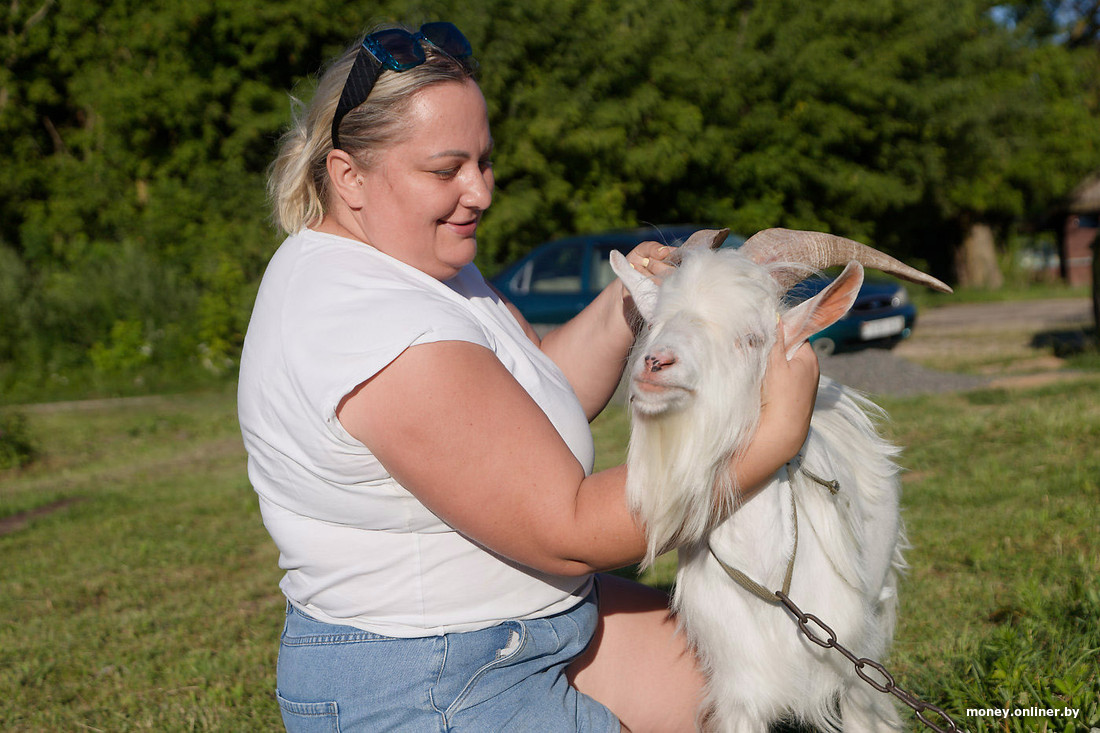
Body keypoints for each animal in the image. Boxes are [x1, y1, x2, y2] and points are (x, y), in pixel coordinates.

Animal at [611, 230, 954, 730]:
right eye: (653, 325)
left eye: (752, 338)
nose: (656, 363)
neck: (771, 581)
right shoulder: (740, 689)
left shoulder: (855, 669)